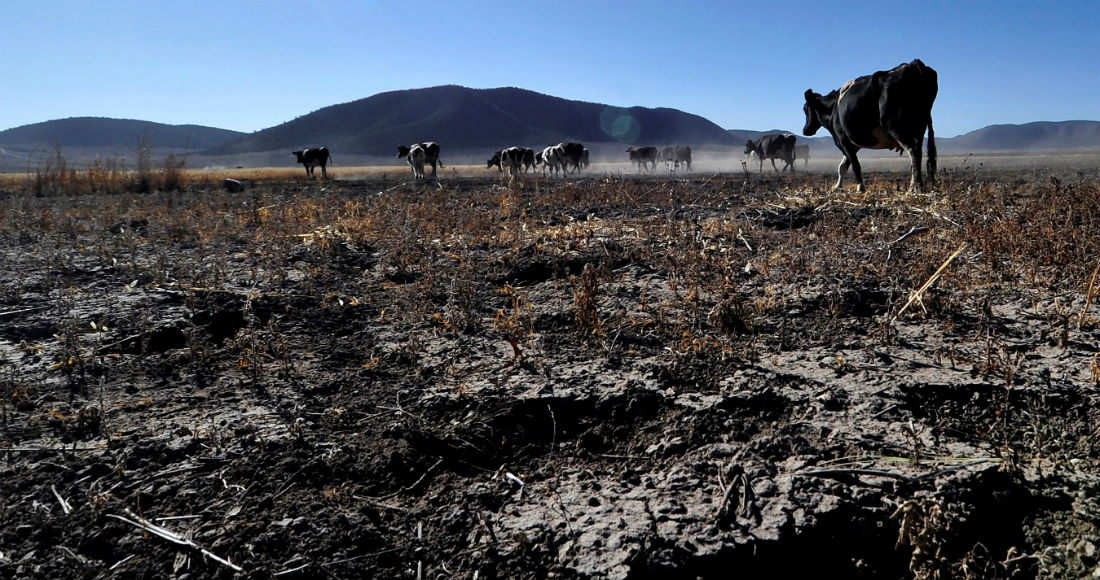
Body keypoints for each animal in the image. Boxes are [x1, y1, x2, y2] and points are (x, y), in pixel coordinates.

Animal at [805, 58, 941, 191]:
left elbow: (855, 166)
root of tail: (914, 64)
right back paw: (918, 185)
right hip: (919, 127)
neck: (833, 107)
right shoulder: (853, 145)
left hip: (896, 126)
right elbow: (842, 166)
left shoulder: (843, 140)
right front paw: (837, 187)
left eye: (805, 109)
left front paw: (860, 188)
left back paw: (915, 187)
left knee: (913, 151)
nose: (805, 130)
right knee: (917, 154)